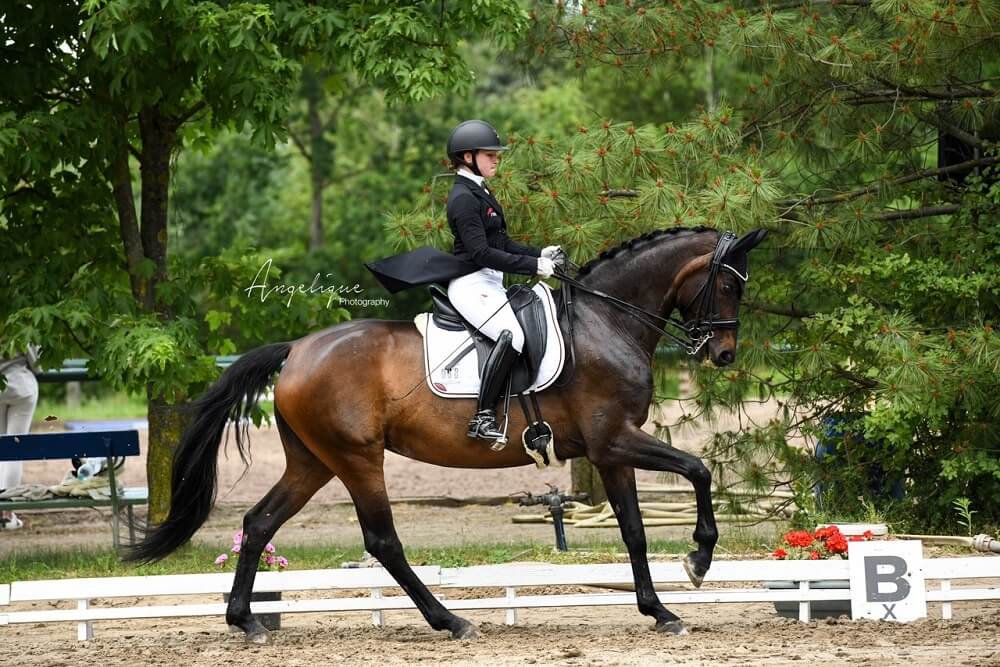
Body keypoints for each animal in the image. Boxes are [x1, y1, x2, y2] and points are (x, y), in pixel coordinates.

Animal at [125, 228, 764, 640]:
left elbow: (633, 530)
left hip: (313, 460)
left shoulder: (610, 450)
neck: (607, 321)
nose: (725, 354)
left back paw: (246, 621)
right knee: (382, 541)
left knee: (259, 523)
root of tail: (297, 350)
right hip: (357, 459)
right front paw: (699, 559)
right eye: (729, 286)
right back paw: (451, 621)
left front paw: (660, 612)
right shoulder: (615, 439)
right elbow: (698, 470)